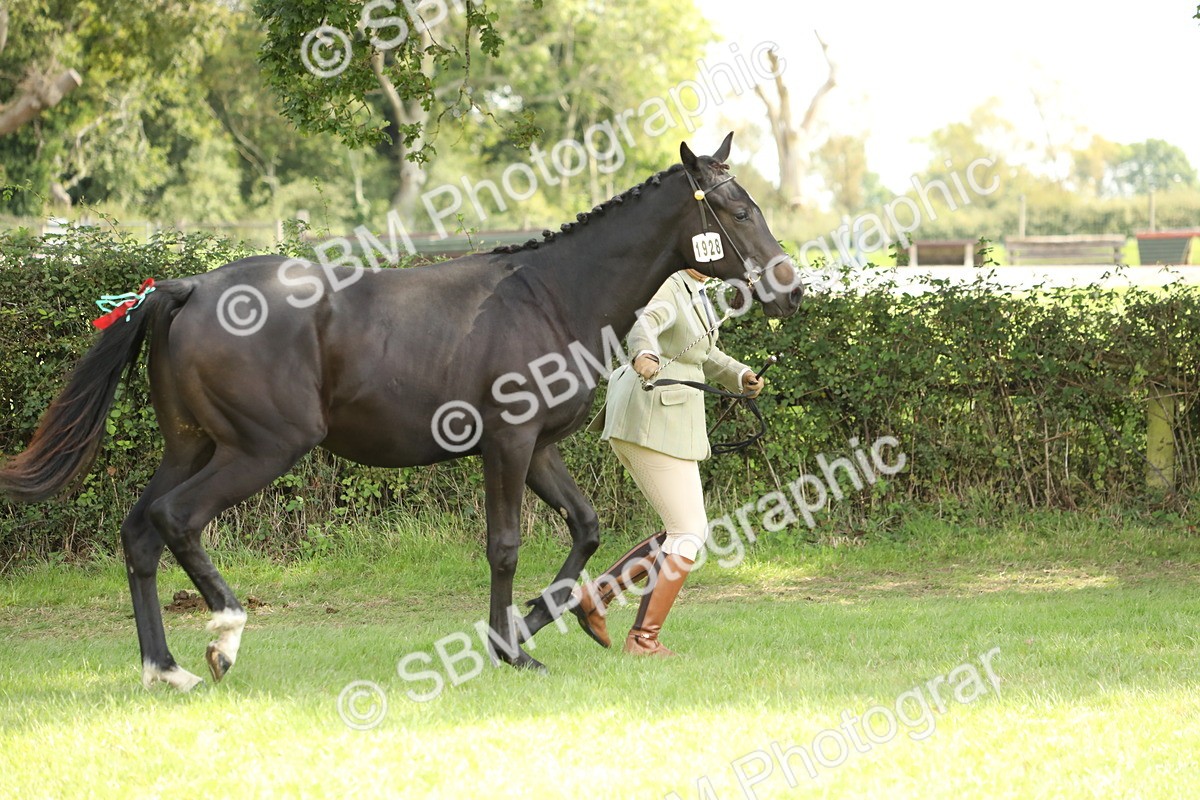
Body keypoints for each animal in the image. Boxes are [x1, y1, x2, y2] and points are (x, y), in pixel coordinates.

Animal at [0, 133, 801, 691]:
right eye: (736, 209)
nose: (791, 289)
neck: (549, 295)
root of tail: (186, 287)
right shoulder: (508, 445)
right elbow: (505, 545)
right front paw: (508, 648)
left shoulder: (540, 449)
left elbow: (586, 529)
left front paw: (530, 630)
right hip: (262, 449)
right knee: (177, 520)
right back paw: (223, 637)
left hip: (193, 445)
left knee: (140, 531)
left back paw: (164, 668)